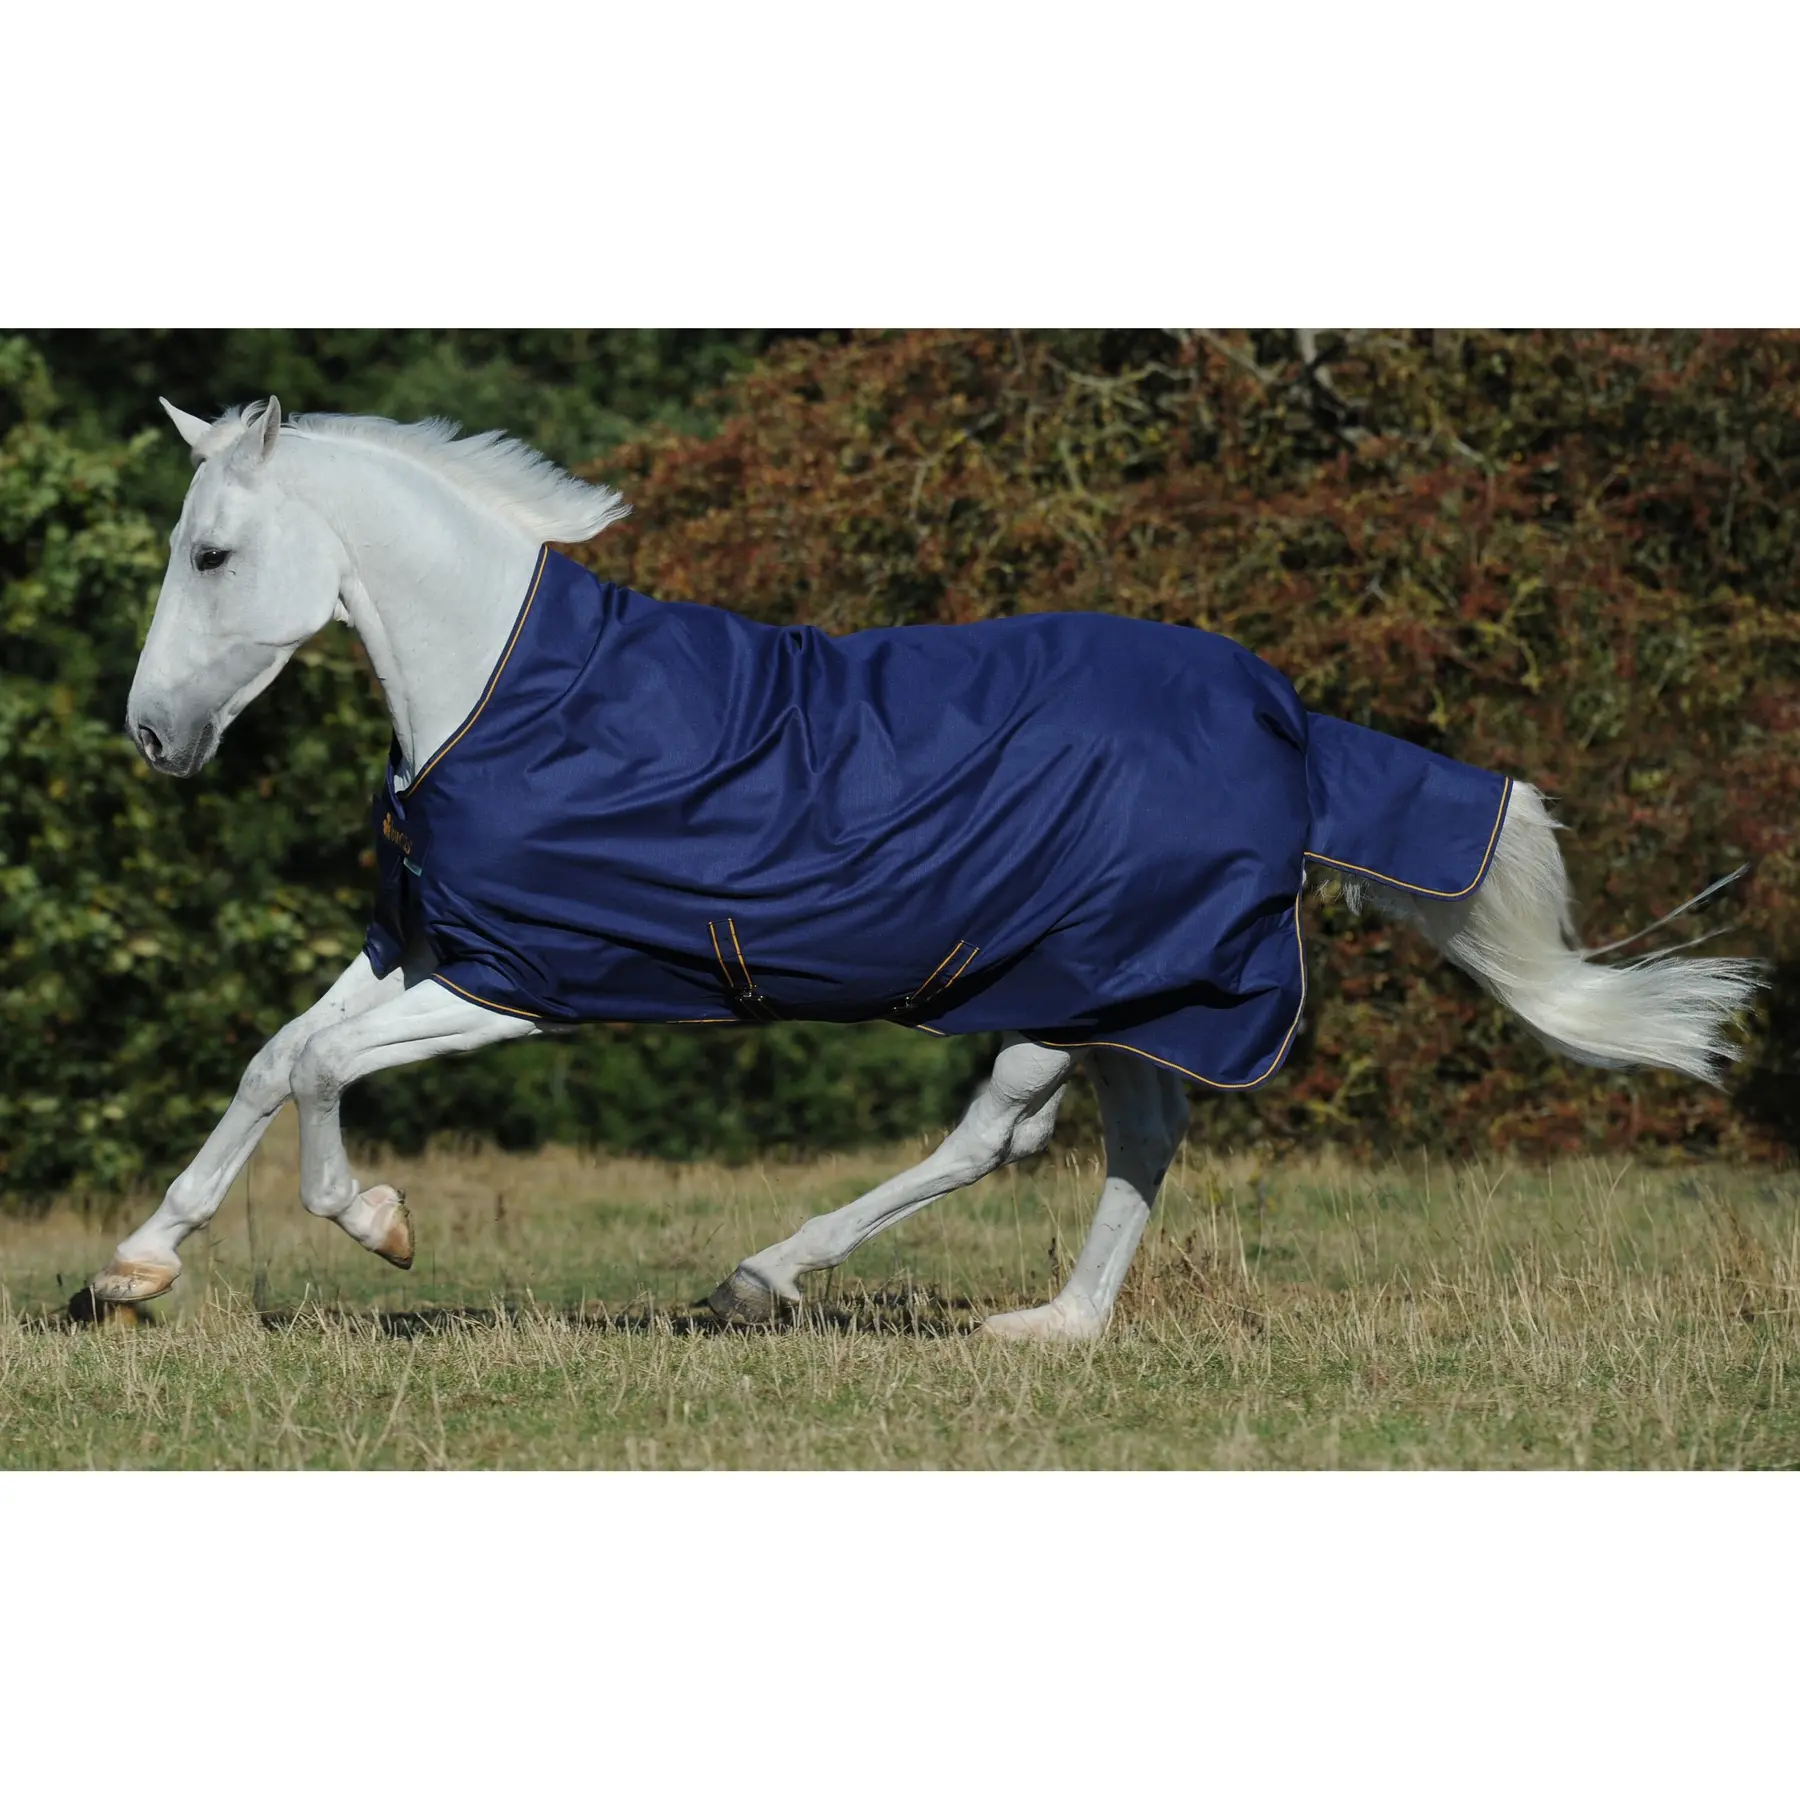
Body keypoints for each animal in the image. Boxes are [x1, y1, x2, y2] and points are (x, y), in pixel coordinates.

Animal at [88, 395, 1763, 1341]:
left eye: (212, 555)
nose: (154, 736)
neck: (512, 693)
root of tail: (1286, 722)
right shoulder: (423, 941)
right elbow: (272, 1055)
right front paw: (132, 1271)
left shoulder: (523, 978)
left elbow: (321, 1074)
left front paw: (379, 1225)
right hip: (1131, 991)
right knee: (1133, 1137)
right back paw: (1053, 1329)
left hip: (1081, 980)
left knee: (1001, 1135)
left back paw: (768, 1281)